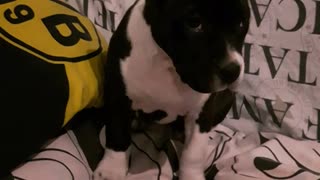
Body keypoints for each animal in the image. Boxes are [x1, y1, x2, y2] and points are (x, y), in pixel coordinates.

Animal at [92, 0, 250, 179]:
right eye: (194, 23)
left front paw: (191, 176)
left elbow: (193, 152)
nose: (232, 71)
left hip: (227, 98)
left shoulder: (202, 112)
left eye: (241, 23)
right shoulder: (118, 98)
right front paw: (111, 169)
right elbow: (117, 134)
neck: (167, 63)